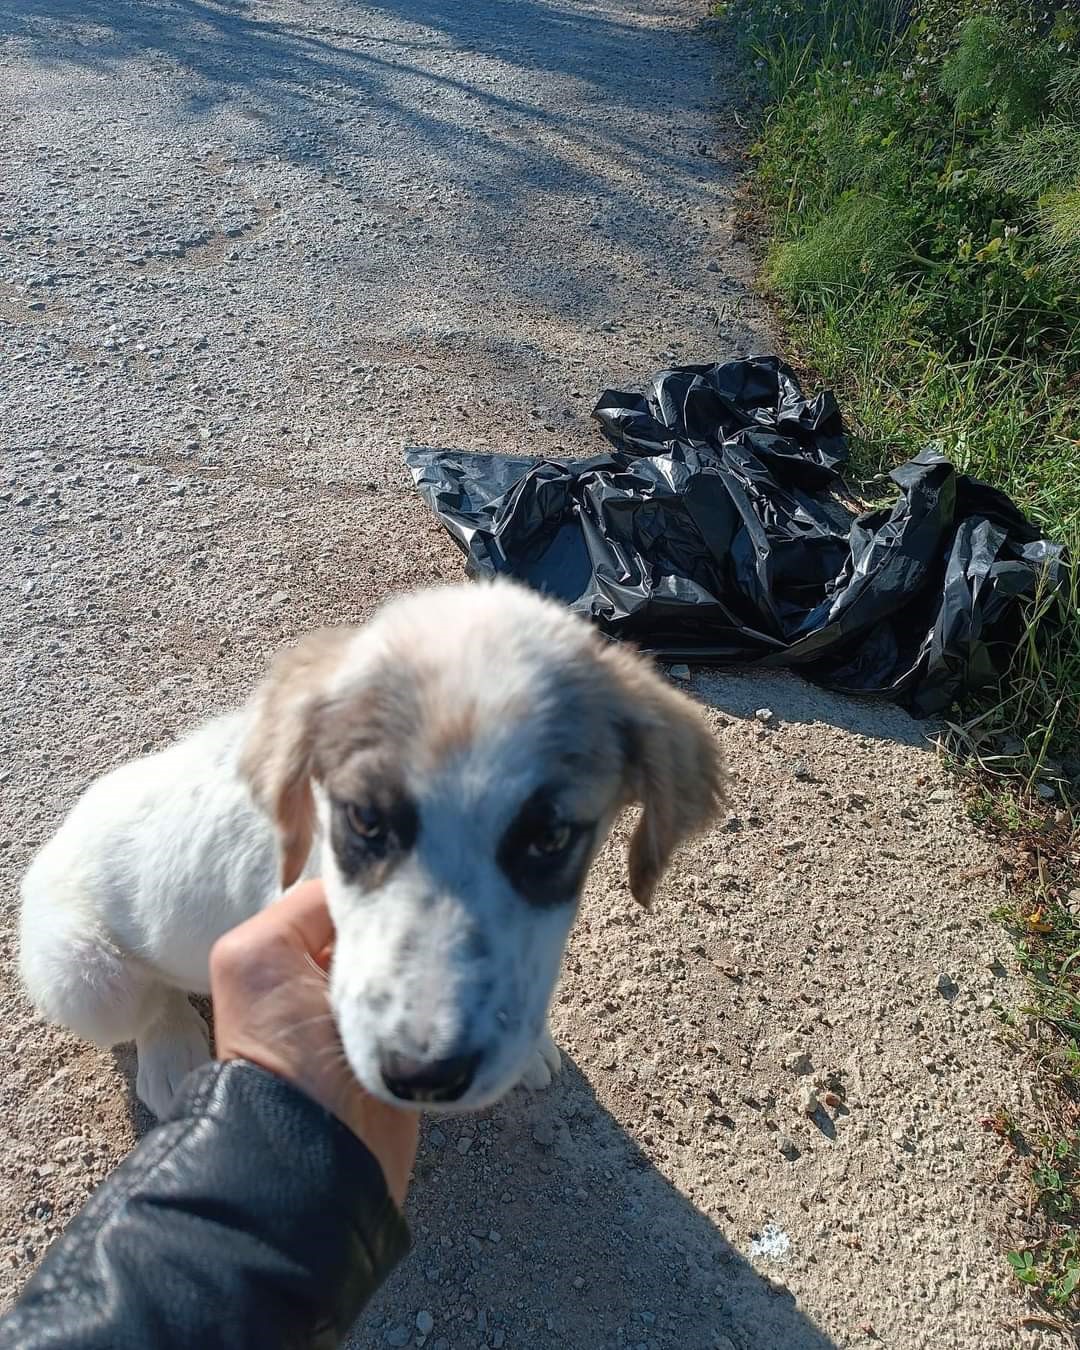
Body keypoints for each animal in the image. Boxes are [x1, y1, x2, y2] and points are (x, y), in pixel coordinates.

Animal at [18, 580, 723, 1117]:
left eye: (549, 838)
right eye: (362, 819)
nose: (424, 1075)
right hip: (86, 973)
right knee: (148, 1002)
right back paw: (173, 1056)